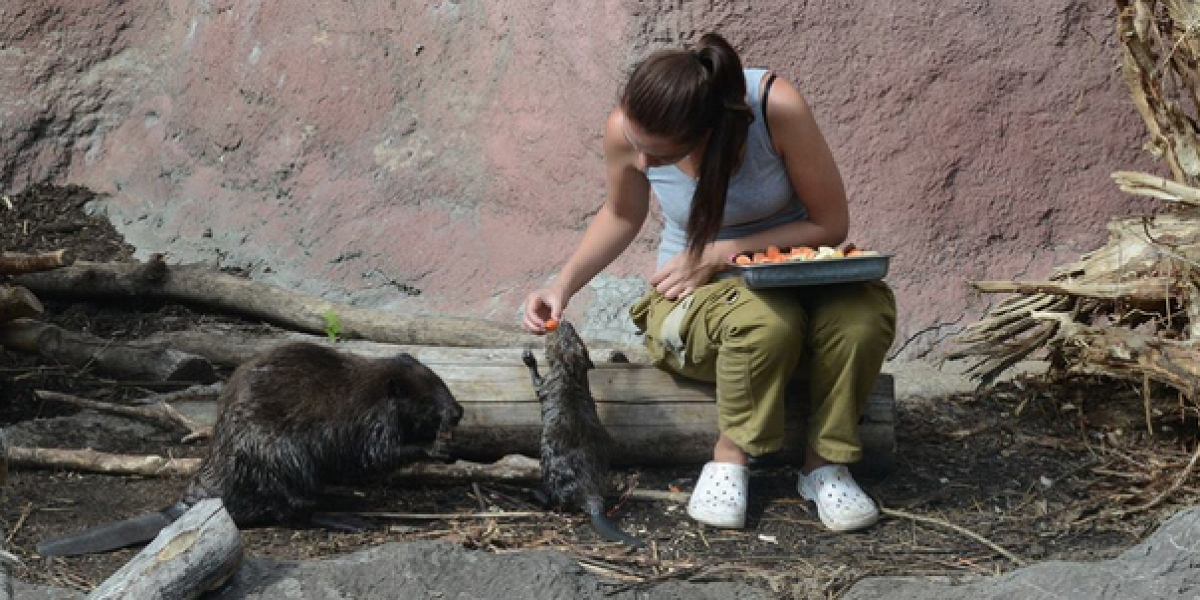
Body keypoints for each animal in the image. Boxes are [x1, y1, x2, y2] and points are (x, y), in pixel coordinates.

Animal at [36, 340, 458, 554]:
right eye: (429, 397)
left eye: (442, 382)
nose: (458, 411)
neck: (371, 388)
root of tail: (194, 501)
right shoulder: (368, 420)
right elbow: (374, 455)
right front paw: (437, 448)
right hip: (282, 455)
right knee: (292, 511)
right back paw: (348, 516)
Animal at [520, 321, 643, 547]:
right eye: (575, 336)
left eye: (564, 338)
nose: (563, 322)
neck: (570, 378)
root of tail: (594, 504)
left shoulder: (548, 383)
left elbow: (537, 382)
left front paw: (528, 355)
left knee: (557, 503)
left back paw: (533, 493)